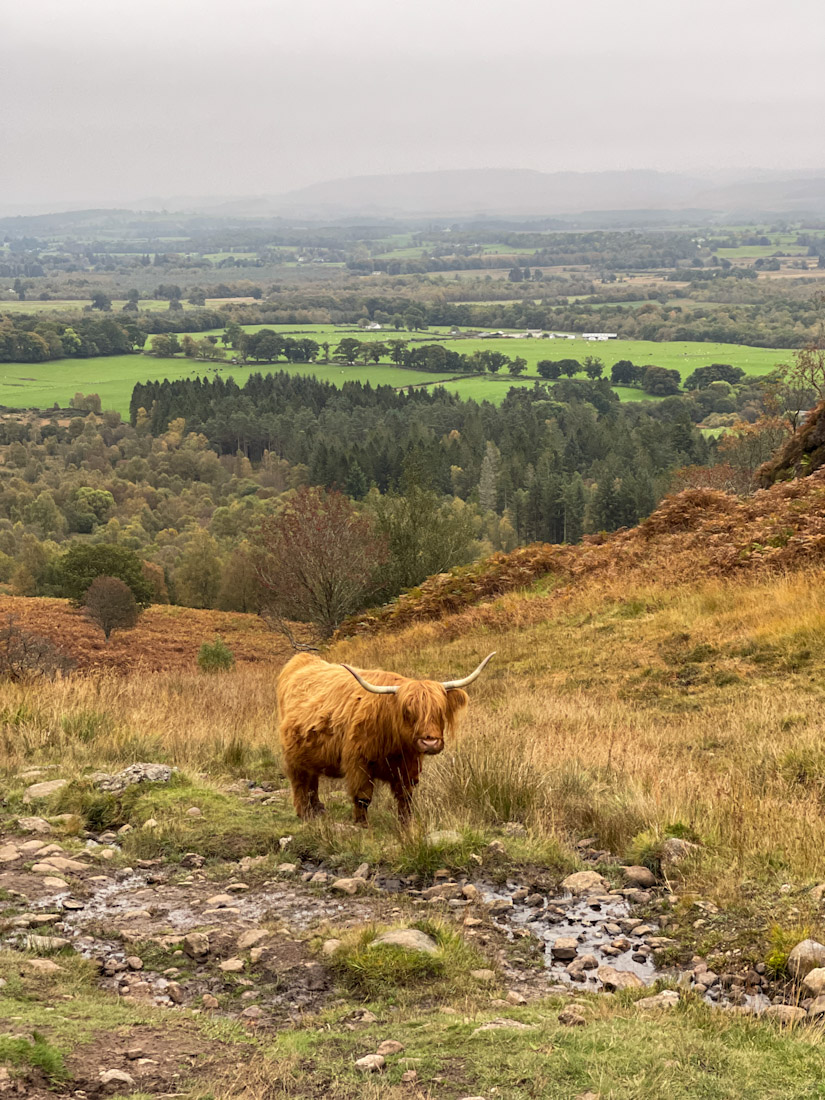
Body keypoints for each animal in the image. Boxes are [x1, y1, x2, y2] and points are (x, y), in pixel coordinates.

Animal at [278, 651, 497, 827]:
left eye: (440, 710)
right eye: (408, 711)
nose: (430, 742)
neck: (395, 746)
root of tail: (302, 659)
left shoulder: (408, 766)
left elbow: (405, 797)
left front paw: (406, 823)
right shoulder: (358, 763)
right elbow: (363, 797)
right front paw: (362, 824)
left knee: (312, 781)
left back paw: (317, 809)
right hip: (293, 756)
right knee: (300, 783)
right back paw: (305, 813)